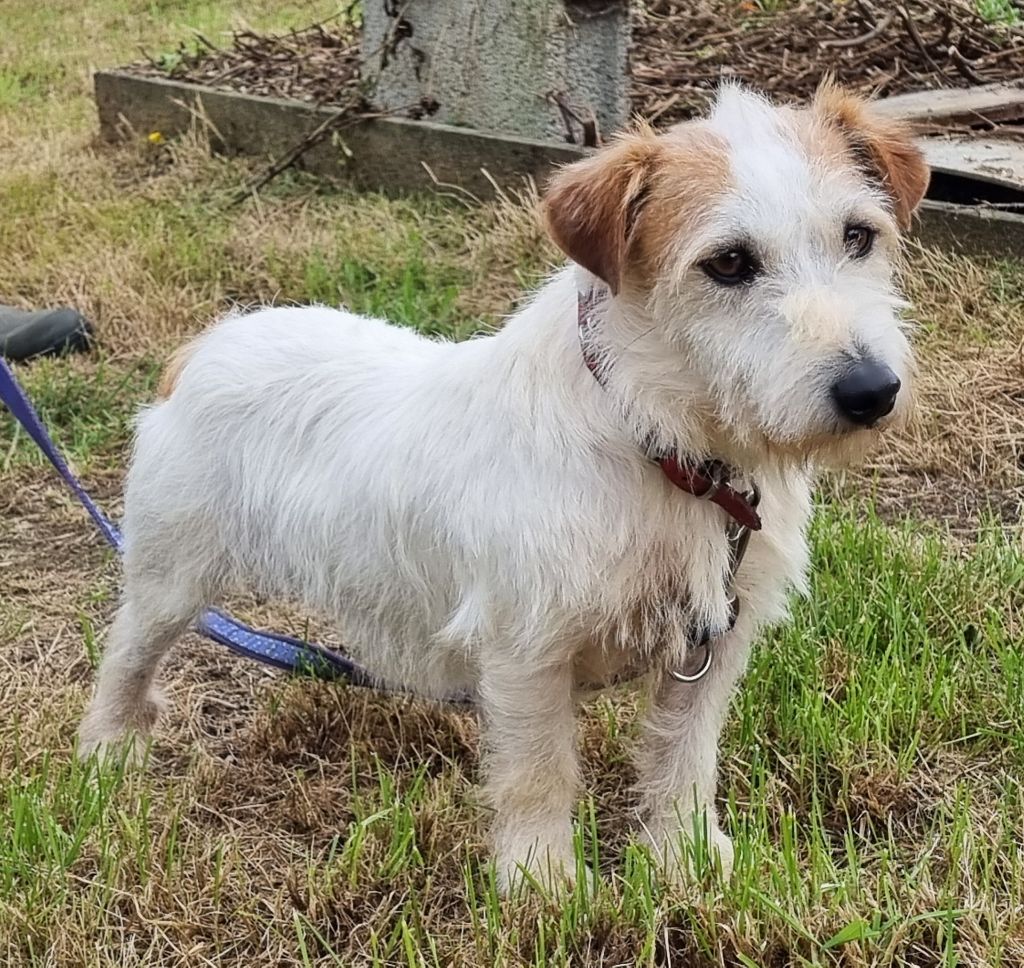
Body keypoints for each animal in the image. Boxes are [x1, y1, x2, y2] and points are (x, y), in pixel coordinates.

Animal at [77, 85, 929, 893]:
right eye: (727, 263)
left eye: (857, 236)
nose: (871, 391)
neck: (656, 438)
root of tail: (205, 345)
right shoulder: (526, 654)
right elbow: (540, 775)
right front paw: (541, 883)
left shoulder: (712, 648)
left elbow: (685, 760)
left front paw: (684, 859)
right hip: (170, 579)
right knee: (126, 654)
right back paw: (108, 749)